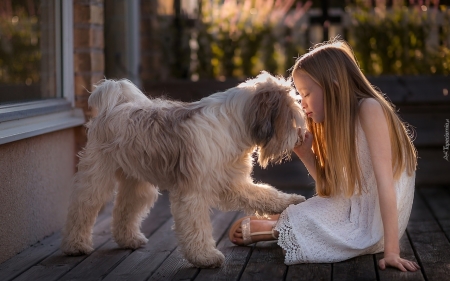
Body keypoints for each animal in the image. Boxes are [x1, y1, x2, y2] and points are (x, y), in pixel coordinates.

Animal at [61, 70, 308, 266]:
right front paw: (204, 257)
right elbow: (197, 226)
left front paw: (291, 201)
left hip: (137, 184)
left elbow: (264, 194)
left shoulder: (233, 183)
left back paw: (129, 240)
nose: (300, 137)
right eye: (292, 116)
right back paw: (76, 245)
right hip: (97, 177)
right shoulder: (193, 192)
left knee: (125, 209)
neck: (234, 125)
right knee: (81, 209)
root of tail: (115, 106)